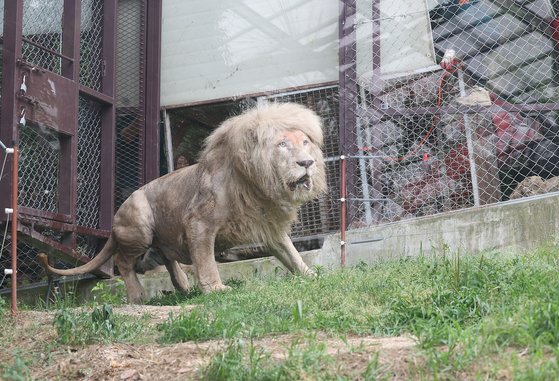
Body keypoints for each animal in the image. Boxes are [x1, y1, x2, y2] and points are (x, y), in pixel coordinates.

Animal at [38, 101, 328, 302]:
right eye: (282, 145)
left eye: (305, 142)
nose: (307, 163)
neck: (256, 185)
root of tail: (116, 216)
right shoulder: (198, 222)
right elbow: (206, 259)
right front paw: (216, 289)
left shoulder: (269, 225)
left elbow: (290, 252)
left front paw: (311, 275)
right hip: (140, 225)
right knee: (123, 261)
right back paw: (138, 296)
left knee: (166, 256)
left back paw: (182, 286)